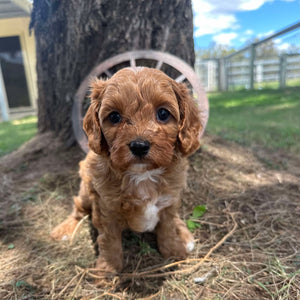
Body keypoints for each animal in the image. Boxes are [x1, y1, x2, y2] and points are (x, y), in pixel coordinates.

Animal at [51, 67, 202, 274]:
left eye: (163, 113)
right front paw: (107, 269)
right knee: (78, 208)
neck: (143, 175)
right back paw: (64, 229)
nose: (139, 146)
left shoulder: (169, 200)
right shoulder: (106, 209)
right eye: (114, 116)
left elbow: (167, 227)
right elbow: (109, 240)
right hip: (86, 191)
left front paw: (174, 251)